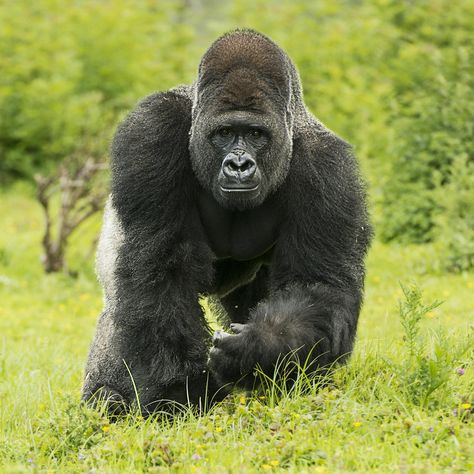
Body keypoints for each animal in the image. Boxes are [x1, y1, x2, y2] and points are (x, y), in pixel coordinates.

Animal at [81, 30, 372, 414]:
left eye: (255, 134)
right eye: (224, 133)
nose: (238, 164)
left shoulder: (328, 168)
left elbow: (317, 285)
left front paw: (259, 349)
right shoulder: (151, 132)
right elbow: (159, 267)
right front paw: (181, 392)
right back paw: (107, 396)